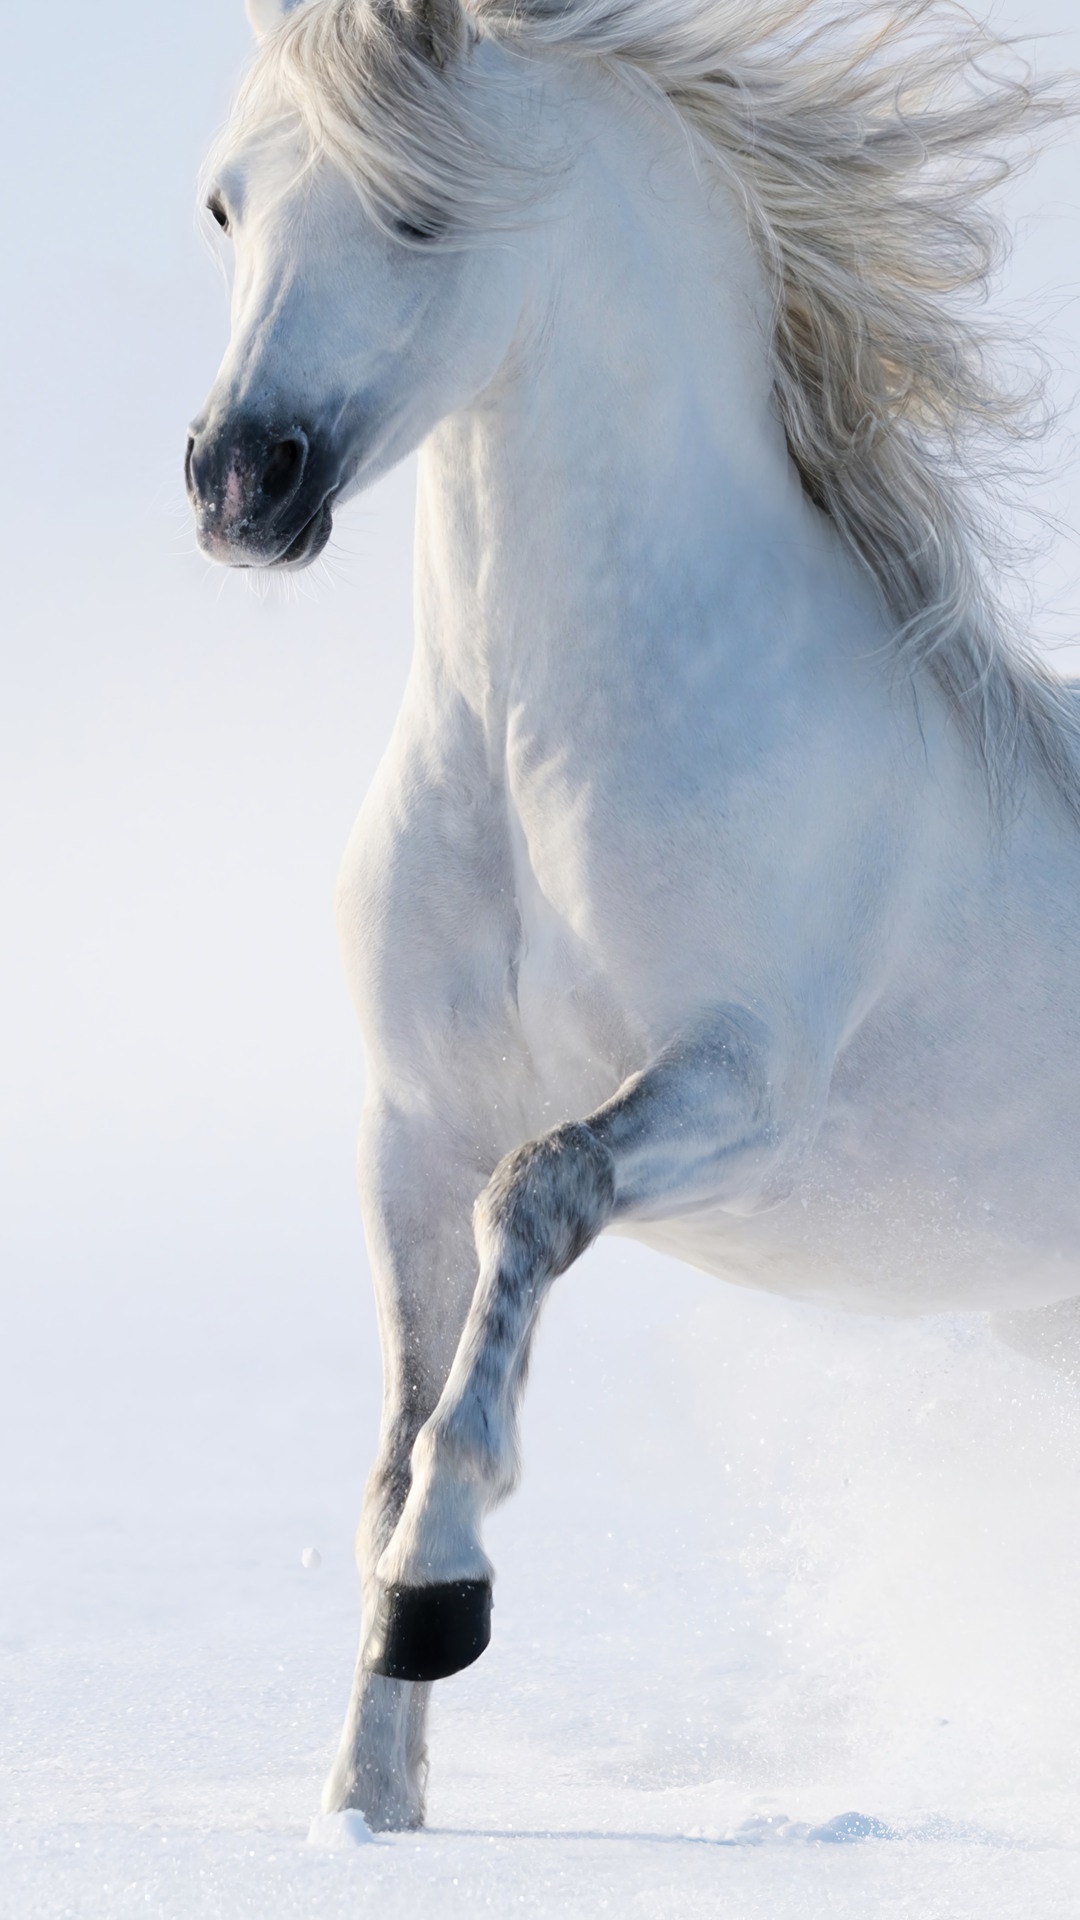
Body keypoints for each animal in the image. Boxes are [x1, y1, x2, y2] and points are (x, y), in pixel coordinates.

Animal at [185, 0, 1080, 1831]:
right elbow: (395, 1427)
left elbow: (531, 1215)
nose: (240, 485)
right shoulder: (410, 1125)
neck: (539, 742)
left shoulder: (740, 1092)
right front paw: (368, 1799)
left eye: (421, 212)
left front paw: (441, 1599)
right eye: (227, 205)